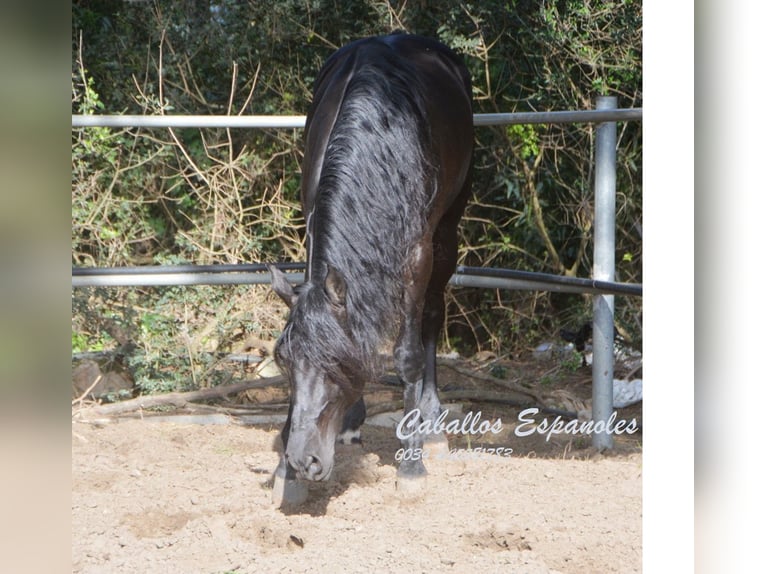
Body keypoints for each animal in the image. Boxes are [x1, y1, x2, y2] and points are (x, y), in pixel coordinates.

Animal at [270, 33, 474, 506]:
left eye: (335, 363)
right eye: (283, 361)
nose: (304, 462)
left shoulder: (417, 253)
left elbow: (408, 355)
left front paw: (411, 466)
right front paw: (283, 474)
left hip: (449, 228)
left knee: (432, 316)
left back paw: (432, 426)